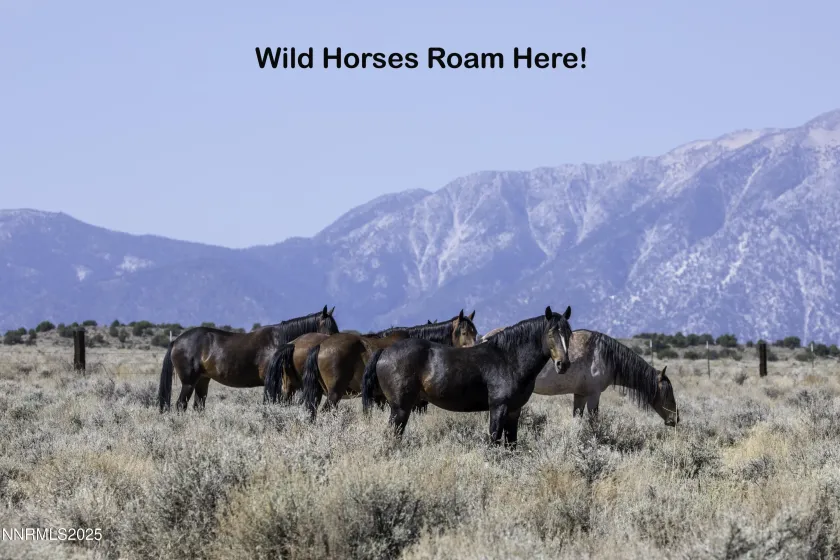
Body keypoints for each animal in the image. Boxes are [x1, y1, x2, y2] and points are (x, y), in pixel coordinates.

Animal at [157, 305, 339, 412]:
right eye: (329, 327)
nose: (334, 347)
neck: (280, 341)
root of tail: (176, 341)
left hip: (202, 380)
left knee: (198, 406)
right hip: (188, 383)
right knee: (181, 405)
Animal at [361, 306, 572, 448]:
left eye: (569, 333)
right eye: (551, 334)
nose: (563, 364)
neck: (508, 358)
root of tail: (384, 351)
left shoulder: (514, 410)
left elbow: (511, 443)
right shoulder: (498, 408)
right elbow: (494, 440)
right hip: (400, 409)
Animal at [532, 329, 680, 426]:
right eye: (667, 394)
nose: (675, 419)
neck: (602, 355)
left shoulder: (580, 395)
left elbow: (577, 418)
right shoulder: (594, 395)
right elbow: (594, 421)